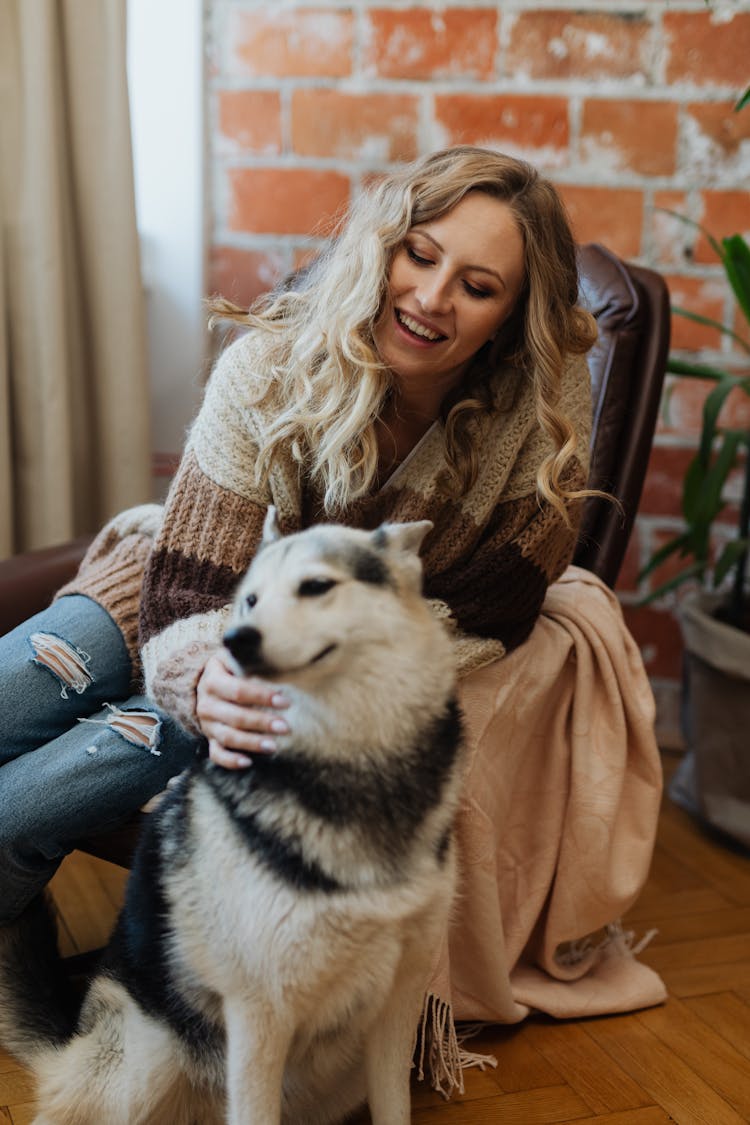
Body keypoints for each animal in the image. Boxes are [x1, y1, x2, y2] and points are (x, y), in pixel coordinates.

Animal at [0, 513, 463, 1125]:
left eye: (316, 586)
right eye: (249, 599)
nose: (234, 641)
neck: (351, 765)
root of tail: (74, 1037)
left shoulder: (397, 1005)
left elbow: (395, 1109)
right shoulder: (261, 1015)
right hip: (151, 1062)